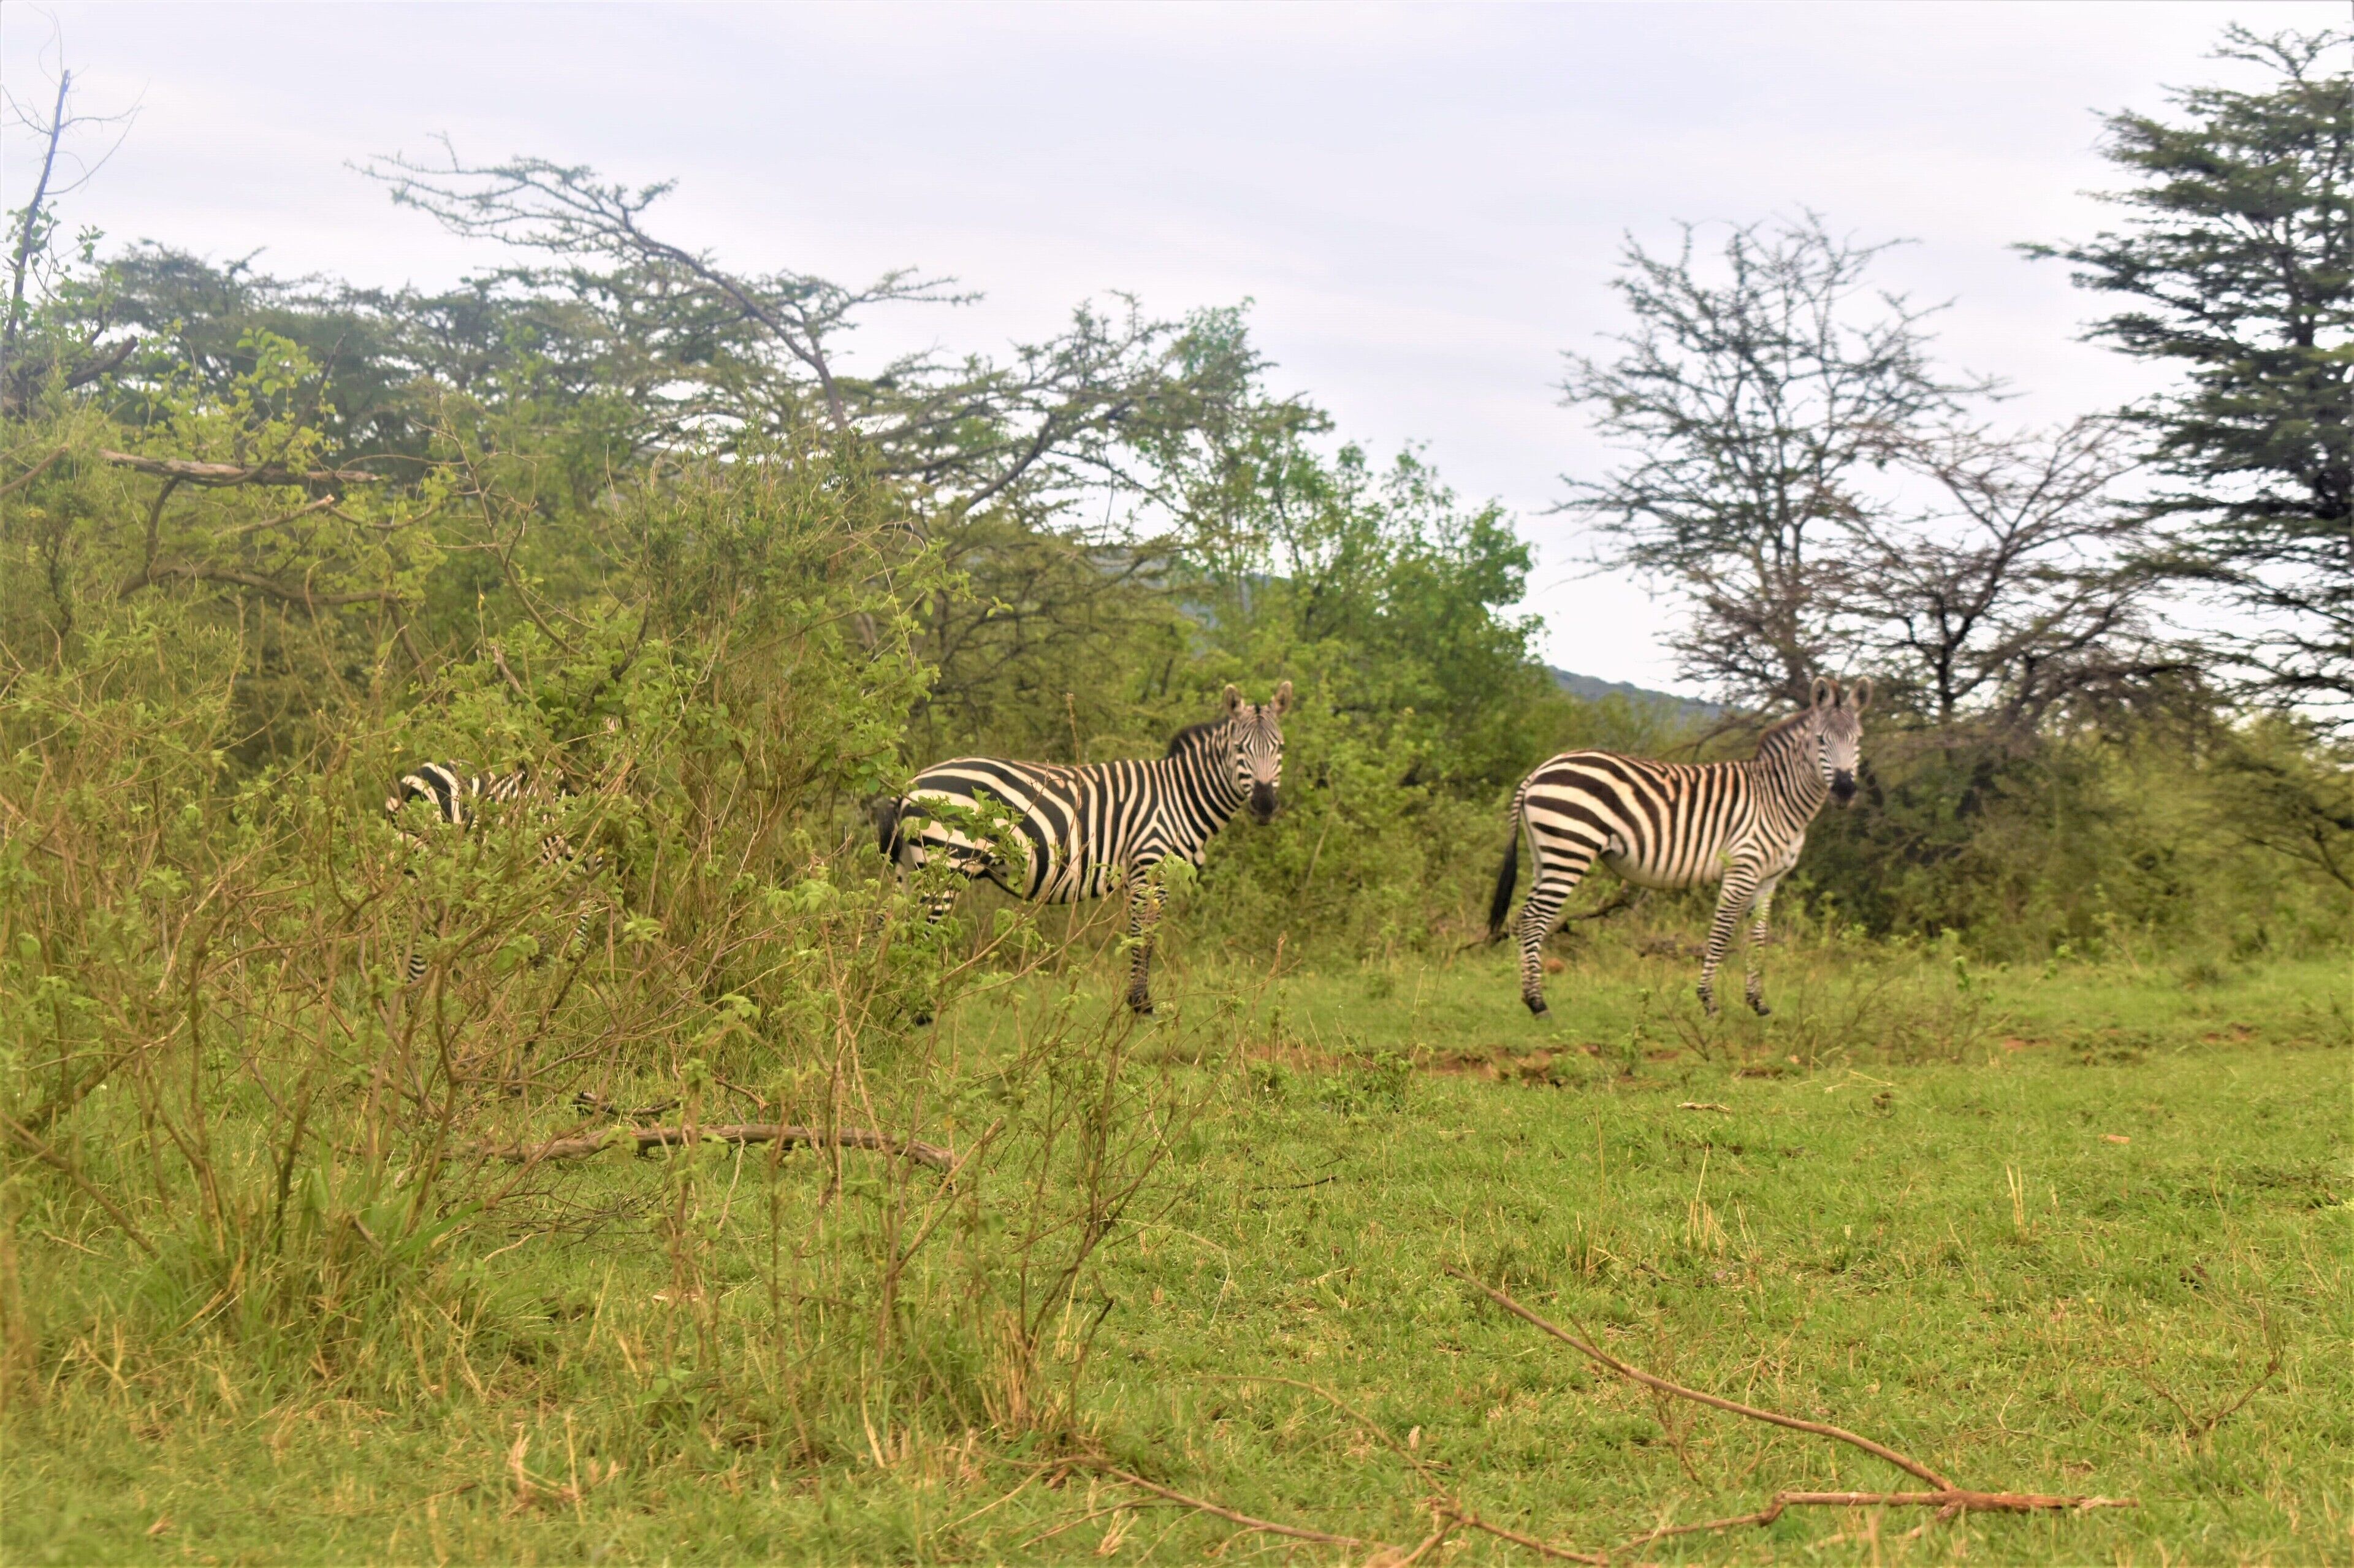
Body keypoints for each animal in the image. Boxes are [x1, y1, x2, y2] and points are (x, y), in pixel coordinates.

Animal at [877, 681, 1292, 1014]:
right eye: (1240, 749)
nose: (1265, 806)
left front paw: (1137, 1000)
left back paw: (884, 999)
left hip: (909, 867)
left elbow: (1141, 935)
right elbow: (1143, 935)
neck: (1179, 797)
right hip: (947, 862)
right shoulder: (1150, 865)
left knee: (888, 925)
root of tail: (911, 784)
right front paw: (1140, 1005)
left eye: (1280, 748)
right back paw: (916, 1009)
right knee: (920, 932)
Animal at [1489, 676, 1871, 1019]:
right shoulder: (1742, 868)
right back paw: (1539, 1004)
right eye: (1820, 740)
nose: (1844, 791)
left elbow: (1759, 939)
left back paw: (1530, 999)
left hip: (1546, 855)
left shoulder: (1769, 879)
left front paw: (1758, 1004)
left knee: (1524, 917)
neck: (1777, 799)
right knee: (1535, 918)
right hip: (1571, 849)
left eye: (1858, 741)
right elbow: (1721, 932)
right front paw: (1709, 1003)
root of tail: (1539, 770)